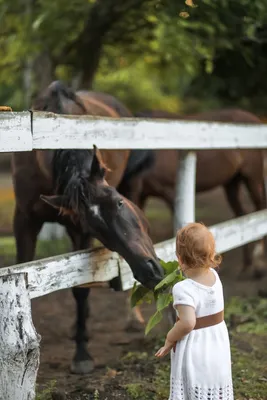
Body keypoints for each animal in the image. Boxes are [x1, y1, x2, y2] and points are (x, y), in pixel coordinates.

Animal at [11, 81, 164, 376]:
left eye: (118, 203)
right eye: (96, 229)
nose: (150, 271)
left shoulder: (76, 231)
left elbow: (80, 288)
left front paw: (82, 354)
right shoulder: (25, 221)